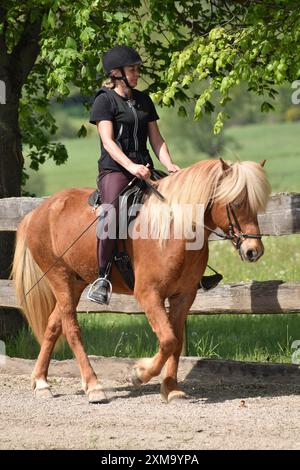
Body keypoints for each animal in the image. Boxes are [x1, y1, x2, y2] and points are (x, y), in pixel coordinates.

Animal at [12, 160, 270, 402]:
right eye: (236, 203)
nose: (253, 251)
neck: (174, 230)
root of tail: (37, 213)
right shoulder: (149, 294)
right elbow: (168, 339)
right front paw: (140, 373)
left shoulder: (184, 296)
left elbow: (176, 341)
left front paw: (171, 389)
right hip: (60, 278)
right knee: (71, 329)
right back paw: (93, 386)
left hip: (75, 283)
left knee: (53, 325)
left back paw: (42, 382)